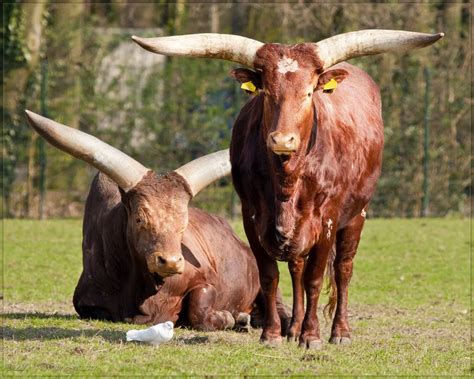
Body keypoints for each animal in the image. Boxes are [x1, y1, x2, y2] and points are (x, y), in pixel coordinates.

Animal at [27, 111, 290, 332]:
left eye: (184, 222)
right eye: (139, 218)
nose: (171, 261)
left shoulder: (205, 280)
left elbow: (199, 309)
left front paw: (228, 317)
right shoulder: (86, 302)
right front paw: (233, 318)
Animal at [133, 29, 444, 348]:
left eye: (308, 93)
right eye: (267, 93)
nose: (283, 140)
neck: (288, 177)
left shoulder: (326, 219)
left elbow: (315, 278)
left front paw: (312, 335)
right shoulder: (252, 217)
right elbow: (270, 275)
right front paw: (273, 334)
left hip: (358, 213)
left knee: (343, 269)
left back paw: (339, 331)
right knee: (296, 268)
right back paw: (293, 327)